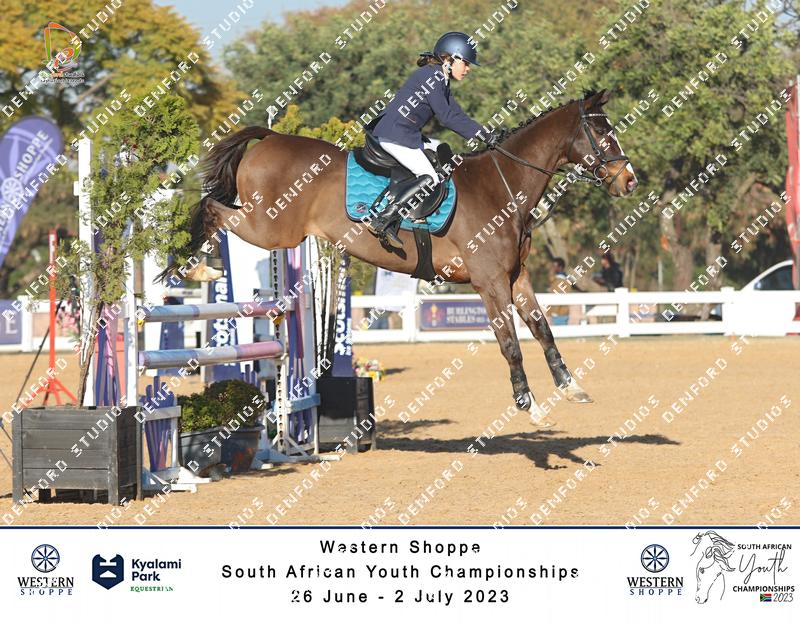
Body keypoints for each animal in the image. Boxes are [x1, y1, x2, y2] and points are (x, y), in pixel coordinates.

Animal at [166, 89, 638, 418]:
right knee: (213, 208)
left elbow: (543, 331)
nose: (628, 180)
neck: (504, 186)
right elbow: (511, 345)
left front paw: (570, 387)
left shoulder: (516, 277)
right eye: (602, 132)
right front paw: (530, 406)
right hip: (270, 228)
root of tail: (271, 137)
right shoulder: (489, 284)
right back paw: (198, 269)